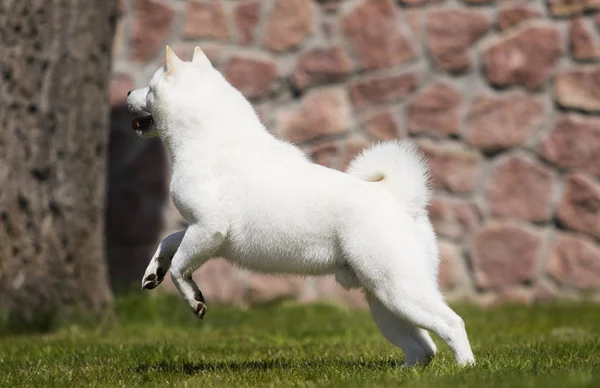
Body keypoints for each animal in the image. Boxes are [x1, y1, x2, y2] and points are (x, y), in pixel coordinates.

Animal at [125, 46, 474, 366]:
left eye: (150, 88)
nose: (127, 91)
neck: (208, 140)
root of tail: (399, 196)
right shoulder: (200, 231)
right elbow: (169, 241)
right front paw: (153, 271)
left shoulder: (209, 229)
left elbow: (180, 268)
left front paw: (194, 299)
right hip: (384, 301)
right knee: (423, 348)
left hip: (398, 290)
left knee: (452, 324)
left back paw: (466, 368)